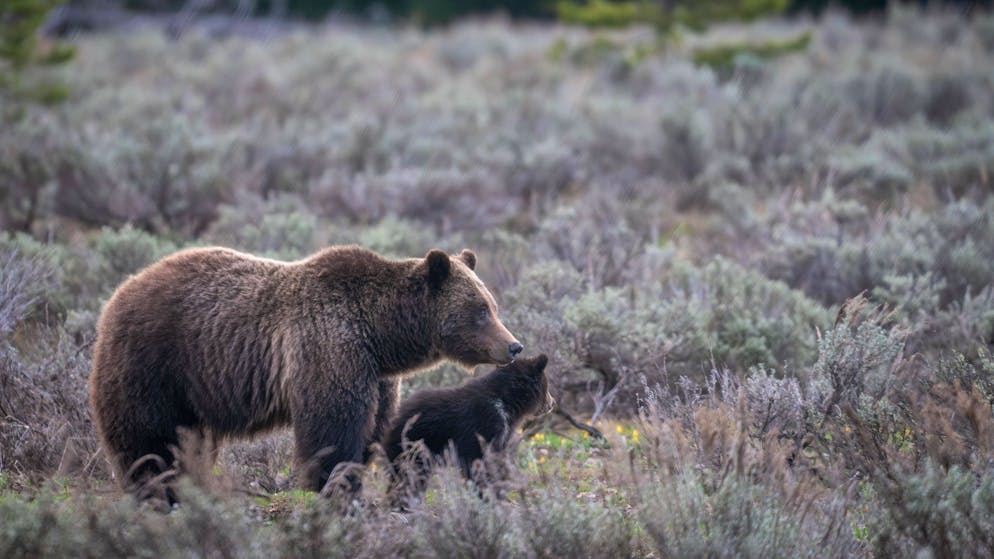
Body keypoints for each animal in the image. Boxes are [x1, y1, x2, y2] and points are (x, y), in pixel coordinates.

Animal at [87, 245, 522, 500]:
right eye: (480, 311)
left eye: (492, 305)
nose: (514, 346)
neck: (380, 334)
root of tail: (119, 291)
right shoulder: (329, 346)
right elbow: (331, 428)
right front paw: (333, 488)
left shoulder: (377, 376)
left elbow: (371, 429)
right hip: (155, 363)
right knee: (149, 439)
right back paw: (157, 491)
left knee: (189, 441)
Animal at [382, 353, 554, 503]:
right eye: (547, 386)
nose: (552, 403)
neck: (506, 403)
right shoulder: (485, 424)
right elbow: (481, 462)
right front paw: (489, 496)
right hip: (416, 444)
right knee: (408, 475)